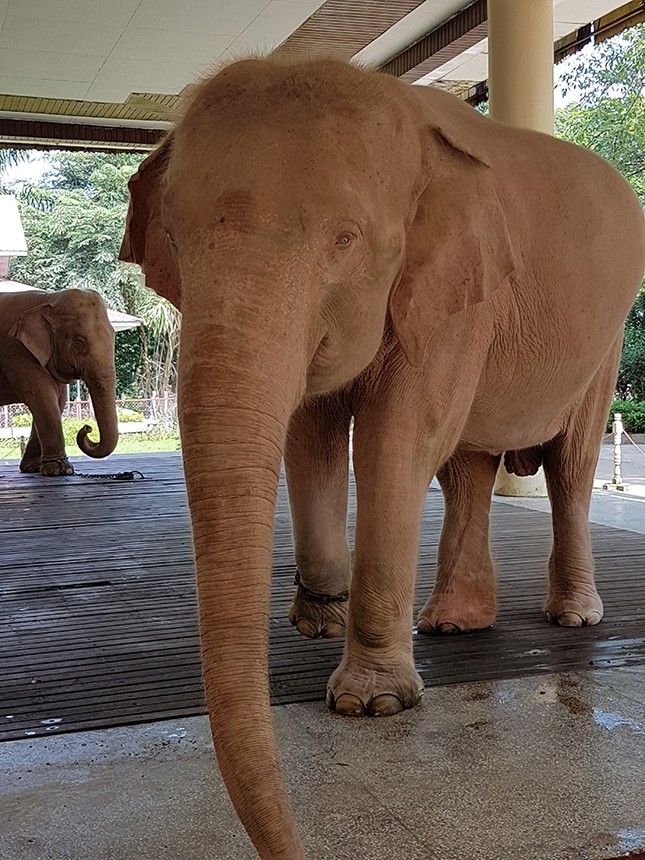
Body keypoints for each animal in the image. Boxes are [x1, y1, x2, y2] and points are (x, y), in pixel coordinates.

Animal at [0, 288, 119, 478]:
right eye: (79, 342)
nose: (87, 428)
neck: (48, 299)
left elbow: (58, 401)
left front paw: (32, 468)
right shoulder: (16, 351)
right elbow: (41, 397)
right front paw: (60, 470)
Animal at [119, 57, 644, 856]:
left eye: (346, 239)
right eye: (173, 239)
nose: (297, 846)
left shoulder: (458, 289)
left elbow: (399, 434)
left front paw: (372, 704)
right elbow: (309, 426)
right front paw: (320, 616)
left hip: (604, 342)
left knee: (570, 463)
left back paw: (574, 619)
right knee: (467, 466)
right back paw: (453, 624)